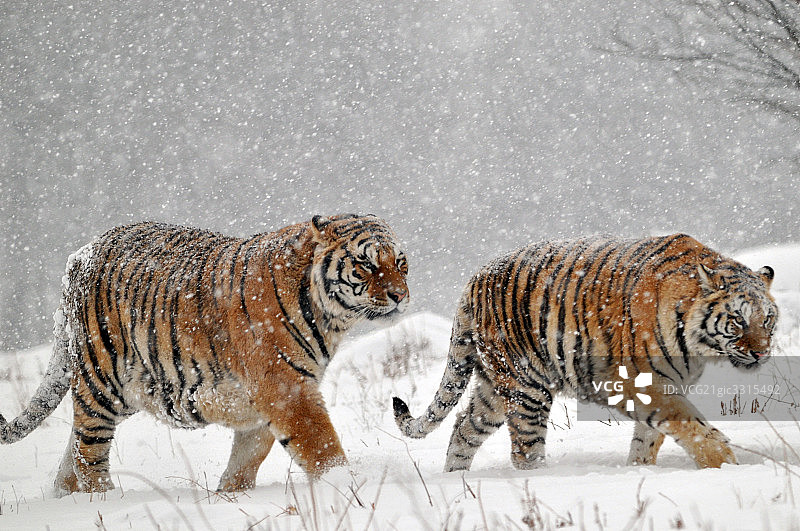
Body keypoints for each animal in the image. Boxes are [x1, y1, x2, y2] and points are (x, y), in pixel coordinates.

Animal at [0, 213, 409, 494]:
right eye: (366, 264)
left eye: (401, 263)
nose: (400, 296)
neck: (331, 318)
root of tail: (82, 253)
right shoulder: (287, 390)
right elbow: (321, 446)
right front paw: (346, 486)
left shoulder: (261, 403)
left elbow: (248, 456)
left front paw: (231, 495)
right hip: (101, 382)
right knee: (89, 454)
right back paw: (105, 501)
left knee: (72, 451)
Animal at [393, 233, 777, 471]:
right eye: (738, 320)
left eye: (768, 319)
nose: (761, 353)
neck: (698, 345)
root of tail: (474, 280)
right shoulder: (643, 383)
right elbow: (694, 428)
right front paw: (725, 465)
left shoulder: (669, 385)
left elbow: (649, 438)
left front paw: (639, 470)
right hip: (526, 388)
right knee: (524, 450)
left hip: (493, 389)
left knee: (464, 428)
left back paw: (456, 480)